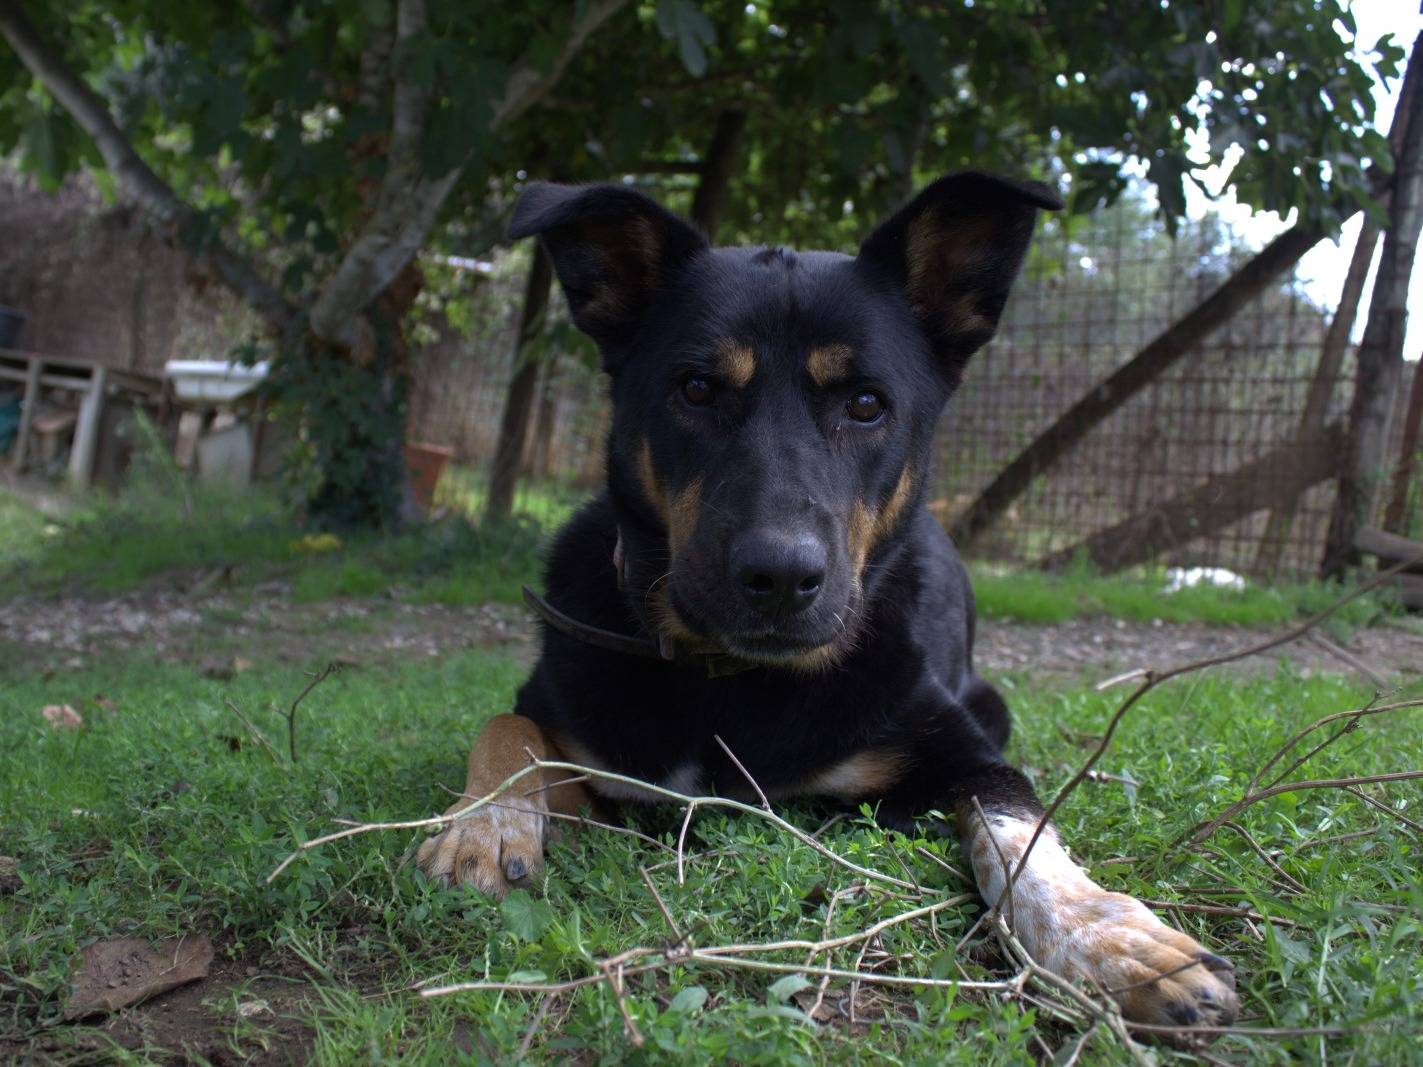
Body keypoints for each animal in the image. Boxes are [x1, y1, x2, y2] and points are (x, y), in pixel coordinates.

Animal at [415, 175, 1240, 1035]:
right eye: (696, 388)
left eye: (867, 403)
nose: (780, 576)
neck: (732, 681)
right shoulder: (568, 719)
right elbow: (509, 729)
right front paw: (482, 825)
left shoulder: (968, 749)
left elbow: (1019, 832)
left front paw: (1111, 942)